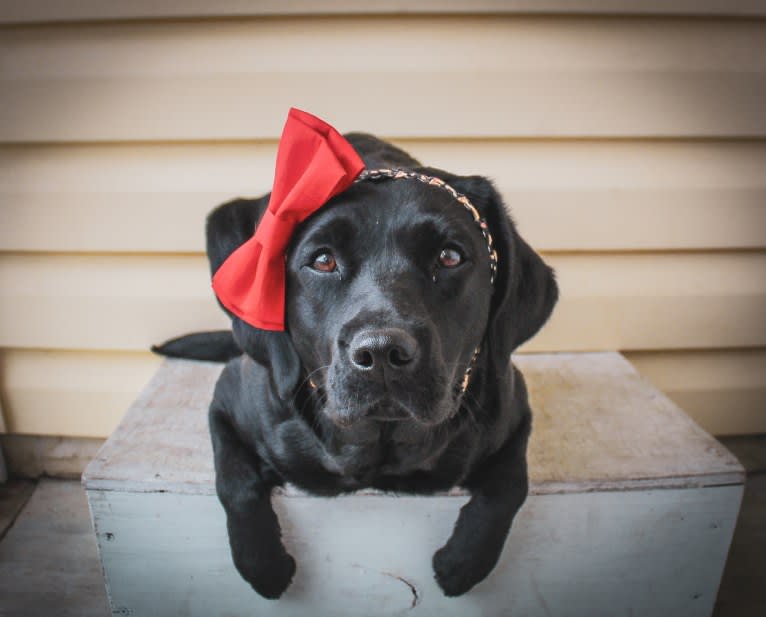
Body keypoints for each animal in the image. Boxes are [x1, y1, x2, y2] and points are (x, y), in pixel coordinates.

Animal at [156, 134, 560, 596]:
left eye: (450, 257)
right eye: (323, 260)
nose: (382, 353)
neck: (378, 451)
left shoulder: (514, 409)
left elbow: (510, 484)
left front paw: (463, 561)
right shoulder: (226, 402)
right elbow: (234, 480)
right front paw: (262, 564)